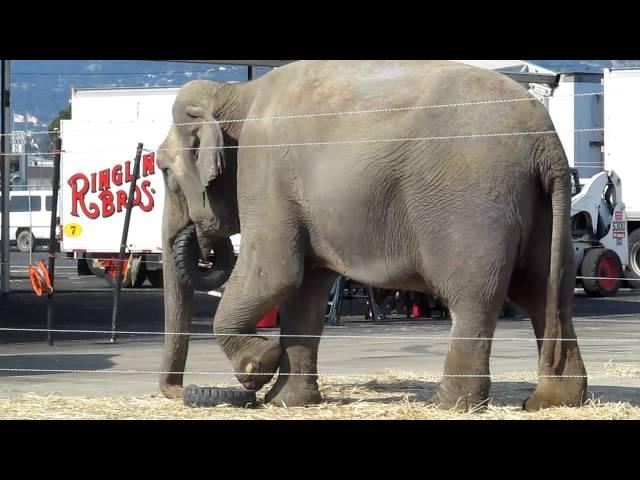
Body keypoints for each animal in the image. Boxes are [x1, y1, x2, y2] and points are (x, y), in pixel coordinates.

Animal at [158, 60, 588, 410]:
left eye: (162, 169)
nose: (183, 392)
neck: (237, 92)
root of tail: (547, 144)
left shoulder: (264, 172)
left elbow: (274, 275)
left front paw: (256, 365)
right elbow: (304, 292)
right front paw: (286, 402)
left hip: (474, 209)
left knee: (475, 298)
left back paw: (448, 404)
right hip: (544, 212)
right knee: (548, 292)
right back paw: (552, 401)